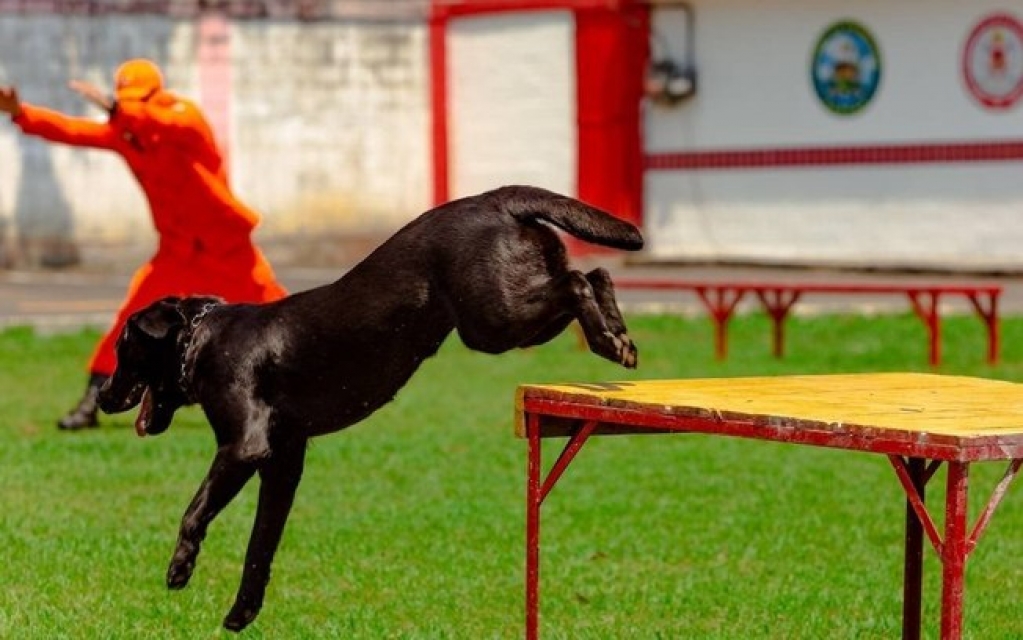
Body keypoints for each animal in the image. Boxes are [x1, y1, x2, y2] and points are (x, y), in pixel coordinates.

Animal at [96, 183, 638, 629]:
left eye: (123, 349)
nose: (101, 397)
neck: (201, 339)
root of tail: (497, 198)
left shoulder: (243, 447)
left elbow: (194, 510)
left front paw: (179, 569)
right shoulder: (284, 463)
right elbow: (260, 544)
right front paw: (242, 611)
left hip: (492, 322)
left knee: (578, 282)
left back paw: (609, 339)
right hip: (510, 317)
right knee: (595, 272)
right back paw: (618, 336)